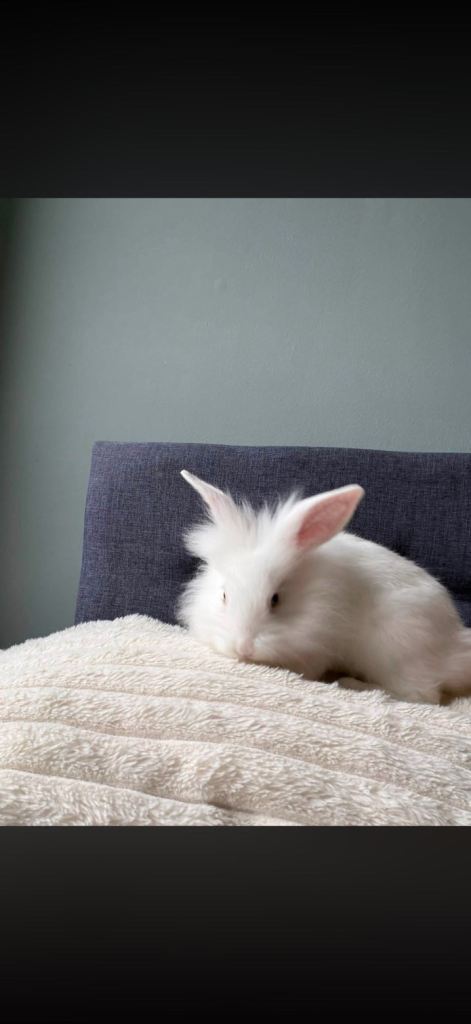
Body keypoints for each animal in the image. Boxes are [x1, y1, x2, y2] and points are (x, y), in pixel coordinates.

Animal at [176, 469, 471, 704]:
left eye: (275, 599)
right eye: (224, 595)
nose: (243, 649)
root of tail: (453, 648)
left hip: (397, 650)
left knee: (421, 695)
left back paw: (351, 683)